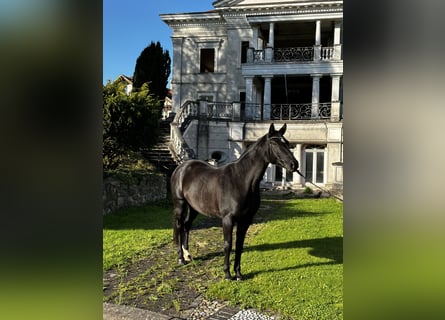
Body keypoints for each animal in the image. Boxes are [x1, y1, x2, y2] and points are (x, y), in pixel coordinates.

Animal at [170, 123, 298, 280]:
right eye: (274, 143)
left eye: (287, 143)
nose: (294, 164)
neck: (241, 179)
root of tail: (182, 167)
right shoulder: (228, 219)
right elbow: (228, 244)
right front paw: (227, 273)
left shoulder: (246, 219)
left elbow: (239, 245)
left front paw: (238, 274)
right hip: (180, 204)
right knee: (179, 226)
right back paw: (181, 258)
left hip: (194, 207)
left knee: (186, 226)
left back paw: (188, 255)